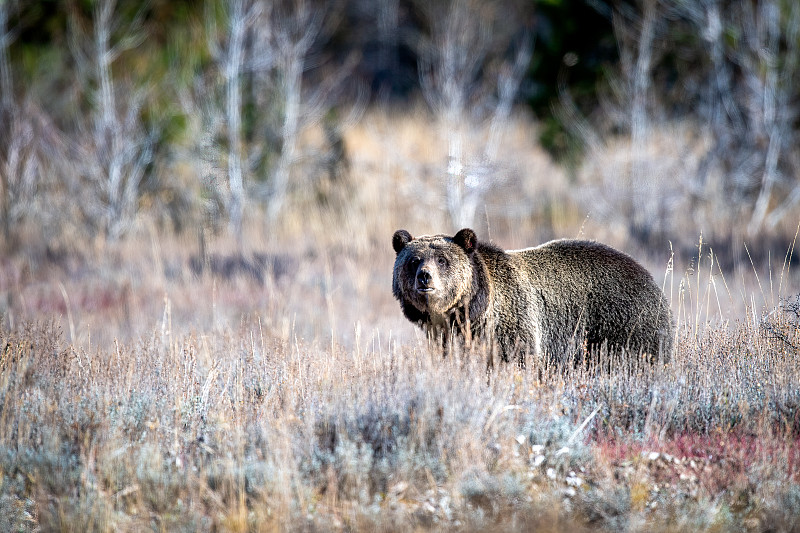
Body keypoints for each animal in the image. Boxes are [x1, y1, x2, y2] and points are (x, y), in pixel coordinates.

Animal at [394, 229, 676, 366]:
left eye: (442, 260)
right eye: (414, 260)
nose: (425, 277)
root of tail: (650, 279)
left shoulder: (512, 323)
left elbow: (518, 357)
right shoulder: (447, 336)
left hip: (624, 323)